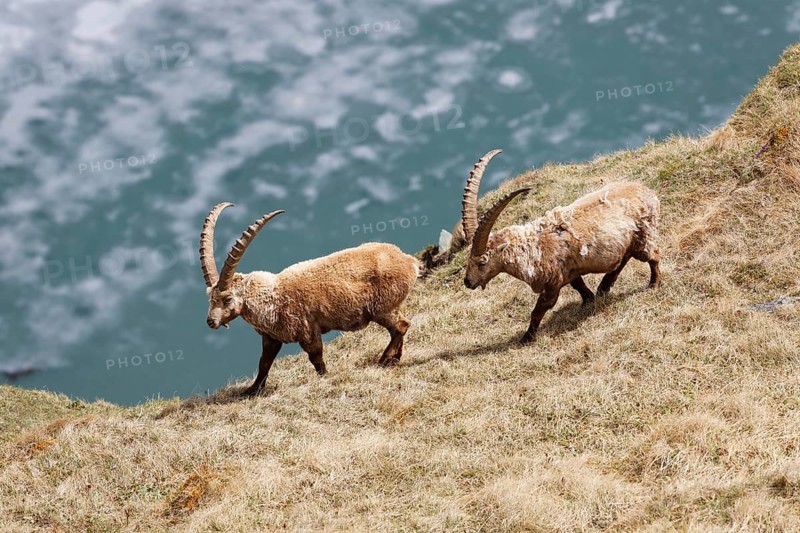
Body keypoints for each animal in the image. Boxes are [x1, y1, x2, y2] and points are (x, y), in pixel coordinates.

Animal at [199, 203, 419, 395]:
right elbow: (264, 362)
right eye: (210, 298)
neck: (272, 297)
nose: (210, 321)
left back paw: (383, 360)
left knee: (401, 325)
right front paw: (252, 390)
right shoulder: (271, 337)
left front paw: (324, 377)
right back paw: (394, 359)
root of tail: (409, 261)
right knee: (398, 328)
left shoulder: (307, 331)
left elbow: (316, 357)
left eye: (227, 299)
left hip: (382, 308)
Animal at [460, 150, 662, 343]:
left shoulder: (551, 284)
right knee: (623, 258)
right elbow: (578, 285)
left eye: (482, 262)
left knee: (653, 256)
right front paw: (588, 300)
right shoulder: (569, 271)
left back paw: (653, 284)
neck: (531, 247)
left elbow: (538, 311)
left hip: (643, 233)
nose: (468, 282)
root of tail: (649, 192)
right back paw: (604, 287)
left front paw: (526, 338)